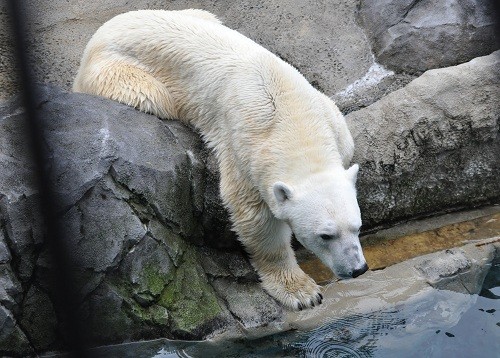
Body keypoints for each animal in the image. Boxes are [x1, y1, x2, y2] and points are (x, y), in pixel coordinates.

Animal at [73, 9, 368, 310]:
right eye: (326, 235)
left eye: (357, 226)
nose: (358, 269)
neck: (293, 119)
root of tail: (101, 33)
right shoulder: (246, 146)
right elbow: (254, 214)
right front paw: (301, 292)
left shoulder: (329, 119)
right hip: (120, 71)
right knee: (154, 97)